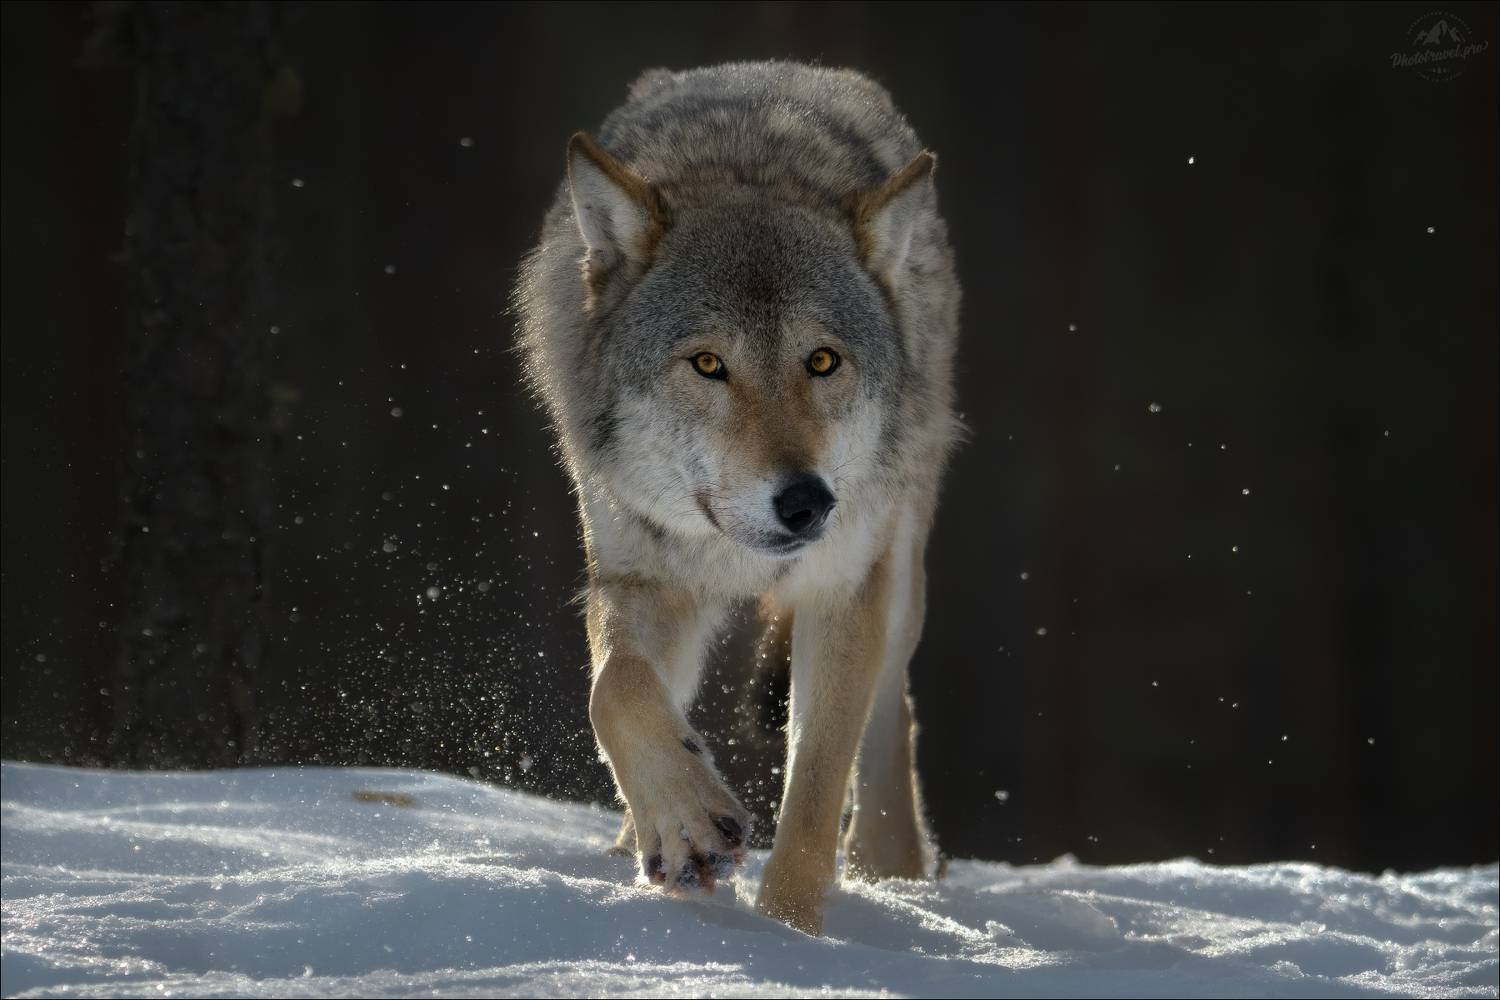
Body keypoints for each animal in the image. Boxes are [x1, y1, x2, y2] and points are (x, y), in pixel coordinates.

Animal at [514, 61, 960, 935]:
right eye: (709, 365)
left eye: (822, 360)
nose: (806, 503)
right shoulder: (637, 571)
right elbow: (614, 692)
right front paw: (684, 823)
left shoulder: (842, 587)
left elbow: (816, 786)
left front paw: (789, 933)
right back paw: (638, 841)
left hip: (899, 563)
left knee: (892, 714)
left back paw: (893, 876)